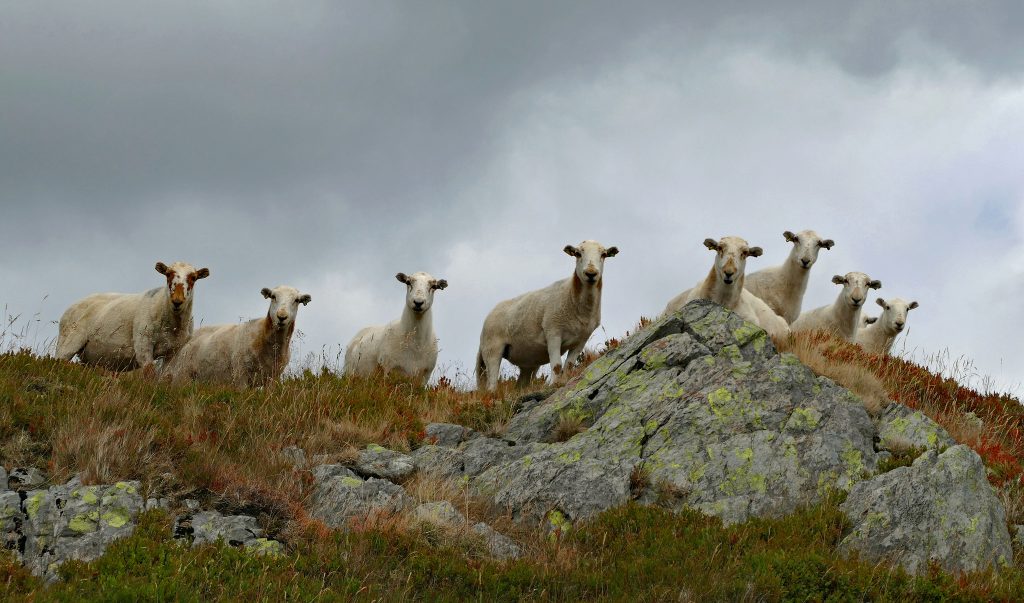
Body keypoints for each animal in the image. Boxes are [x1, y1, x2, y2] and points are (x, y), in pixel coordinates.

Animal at [55, 261, 210, 372]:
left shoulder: (173, 352)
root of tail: (72, 306)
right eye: (167, 274)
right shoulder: (143, 343)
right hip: (68, 341)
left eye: (193, 278)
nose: (177, 301)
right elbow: (149, 373)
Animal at [164, 286, 311, 388]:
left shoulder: (273, 378)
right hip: (181, 377)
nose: (281, 317)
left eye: (297, 300)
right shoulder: (241, 375)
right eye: (273, 296)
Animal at [476, 240, 618, 391]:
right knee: (492, 383)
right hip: (492, 349)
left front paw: (564, 381)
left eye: (603, 254)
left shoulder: (581, 340)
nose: (591, 273)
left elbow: (569, 365)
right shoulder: (553, 332)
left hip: (528, 361)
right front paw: (555, 384)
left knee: (521, 385)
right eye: (577, 253)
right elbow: (557, 365)